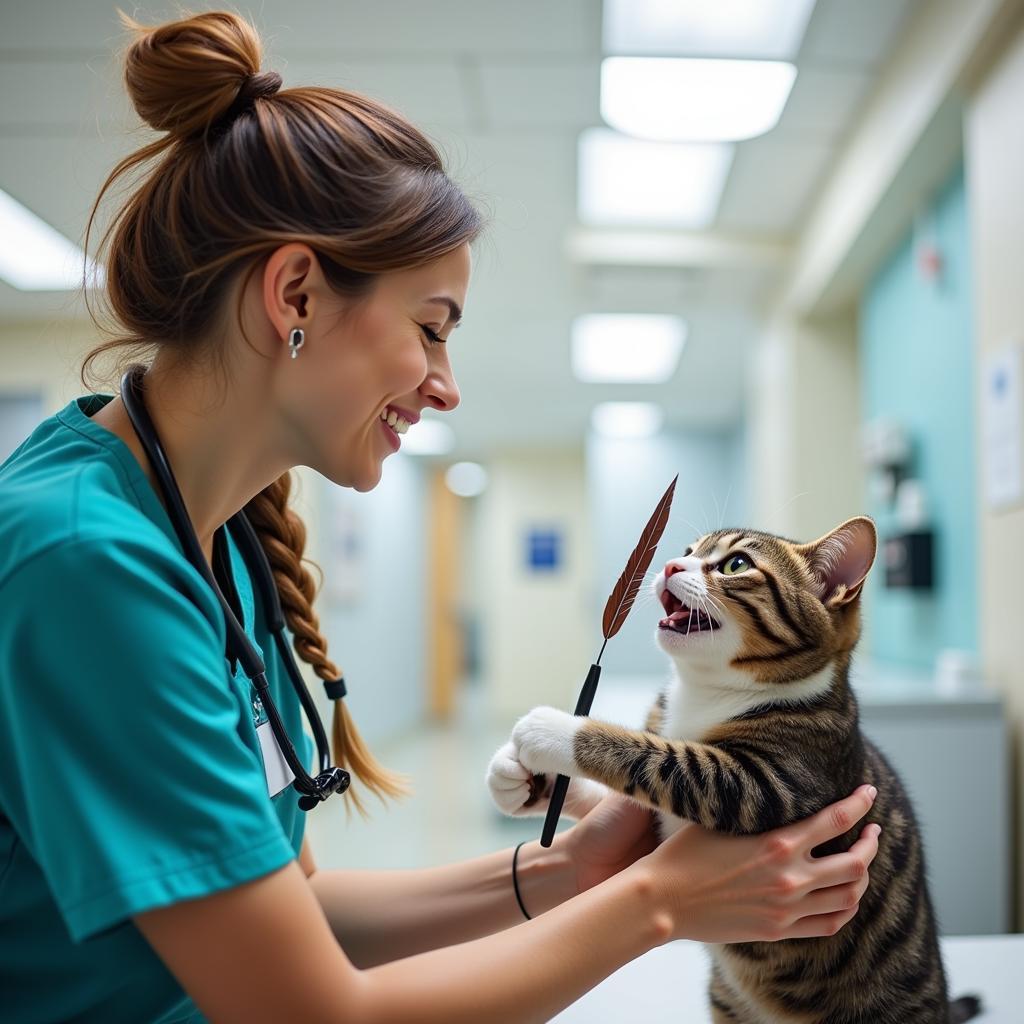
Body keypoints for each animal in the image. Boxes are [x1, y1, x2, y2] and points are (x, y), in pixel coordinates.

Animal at [489, 520, 983, 1024]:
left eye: (736, 564)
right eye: (688, 550)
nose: (671, 564)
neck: (703, 695)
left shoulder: (769, 781)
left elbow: (657, 757)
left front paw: (550, 730)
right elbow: (614, 798)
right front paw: (520, 777)